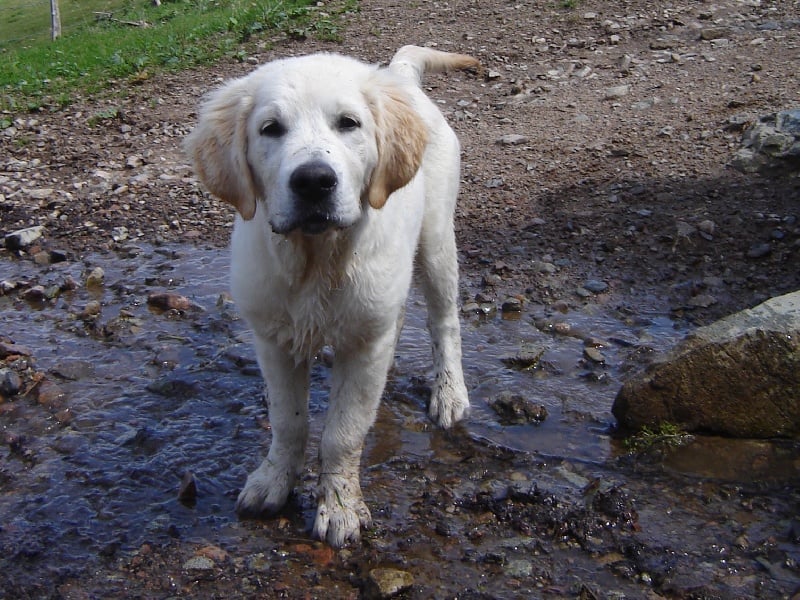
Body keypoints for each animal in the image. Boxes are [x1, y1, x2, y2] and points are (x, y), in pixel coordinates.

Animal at [184, 44, 478, 548]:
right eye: (270, 128)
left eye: (348, 123)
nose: (314, 181)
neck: (316, 258)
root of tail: (398, 77)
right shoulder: (273, 339)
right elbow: (289, 421)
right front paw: (274, 480)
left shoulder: (362, 345)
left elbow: (342, 433)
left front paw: (339, 507)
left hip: (437, 240)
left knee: (445, 322)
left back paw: (449, 393)